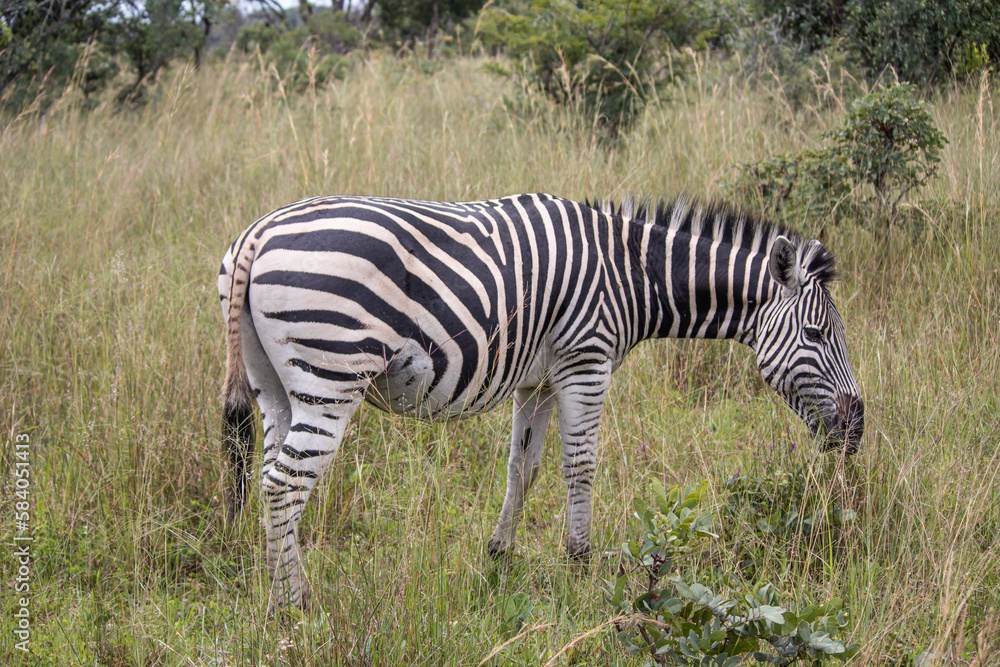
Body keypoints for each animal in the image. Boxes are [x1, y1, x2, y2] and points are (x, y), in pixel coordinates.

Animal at [218, 193, 864, 608]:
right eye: (815, 336)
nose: (856, 431)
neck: (634, 276)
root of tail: (256, 233)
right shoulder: (586, 363)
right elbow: (579, 467)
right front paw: (580, 564)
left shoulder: (539, 381)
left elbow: (521, 468)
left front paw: (498, 557)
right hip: (330, 377)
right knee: (285, 483)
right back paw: (295, 604)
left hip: (273, 386)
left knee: (271, 473)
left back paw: (273, 590)